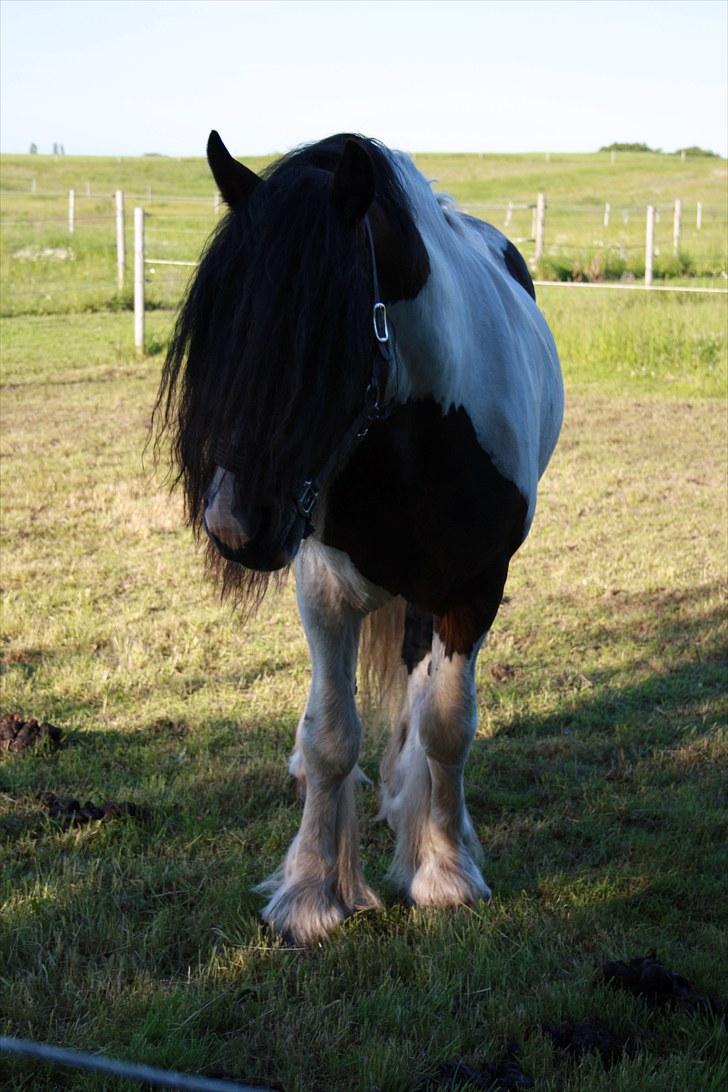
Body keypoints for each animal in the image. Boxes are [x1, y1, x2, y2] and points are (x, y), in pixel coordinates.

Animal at [153, 129, 563, 947]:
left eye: (322, 334)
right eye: (220, 330)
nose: (233, 527)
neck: (417, 436)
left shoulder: (474, 588)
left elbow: (446, 724)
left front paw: (444, 871)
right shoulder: (324, 588)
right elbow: (331, 734)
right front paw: (313, 892)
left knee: (419, 690)